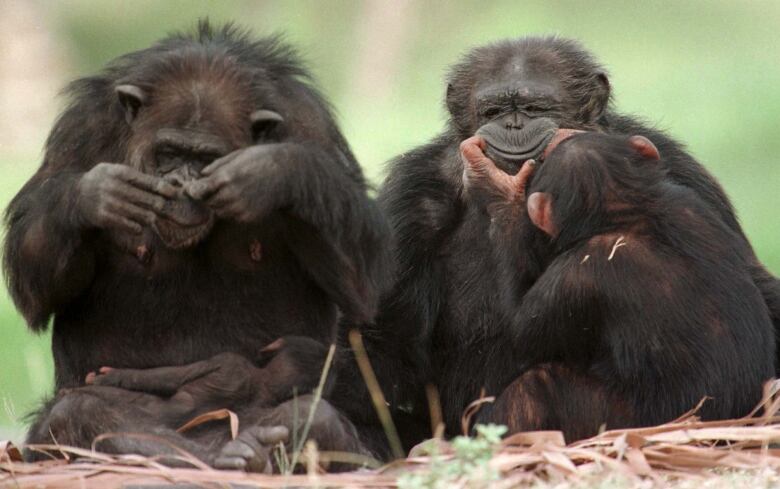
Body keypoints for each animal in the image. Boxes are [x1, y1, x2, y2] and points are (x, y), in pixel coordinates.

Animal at [2, 21, 386, 468]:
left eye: (204, 159)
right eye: (169, 152)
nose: (181, 183)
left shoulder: (311, 125)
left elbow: (360, 281)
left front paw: (271, 171)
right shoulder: (81, 128)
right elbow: (34, 281)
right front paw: (96, 195)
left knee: (316, 416)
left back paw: (249, 451)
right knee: (76, 411)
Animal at [464, 132, 772, 440]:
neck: (632, 213)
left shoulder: (576, 273)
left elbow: (520, 332)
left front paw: (500, 192)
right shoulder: (692, 201)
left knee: (533, 388)